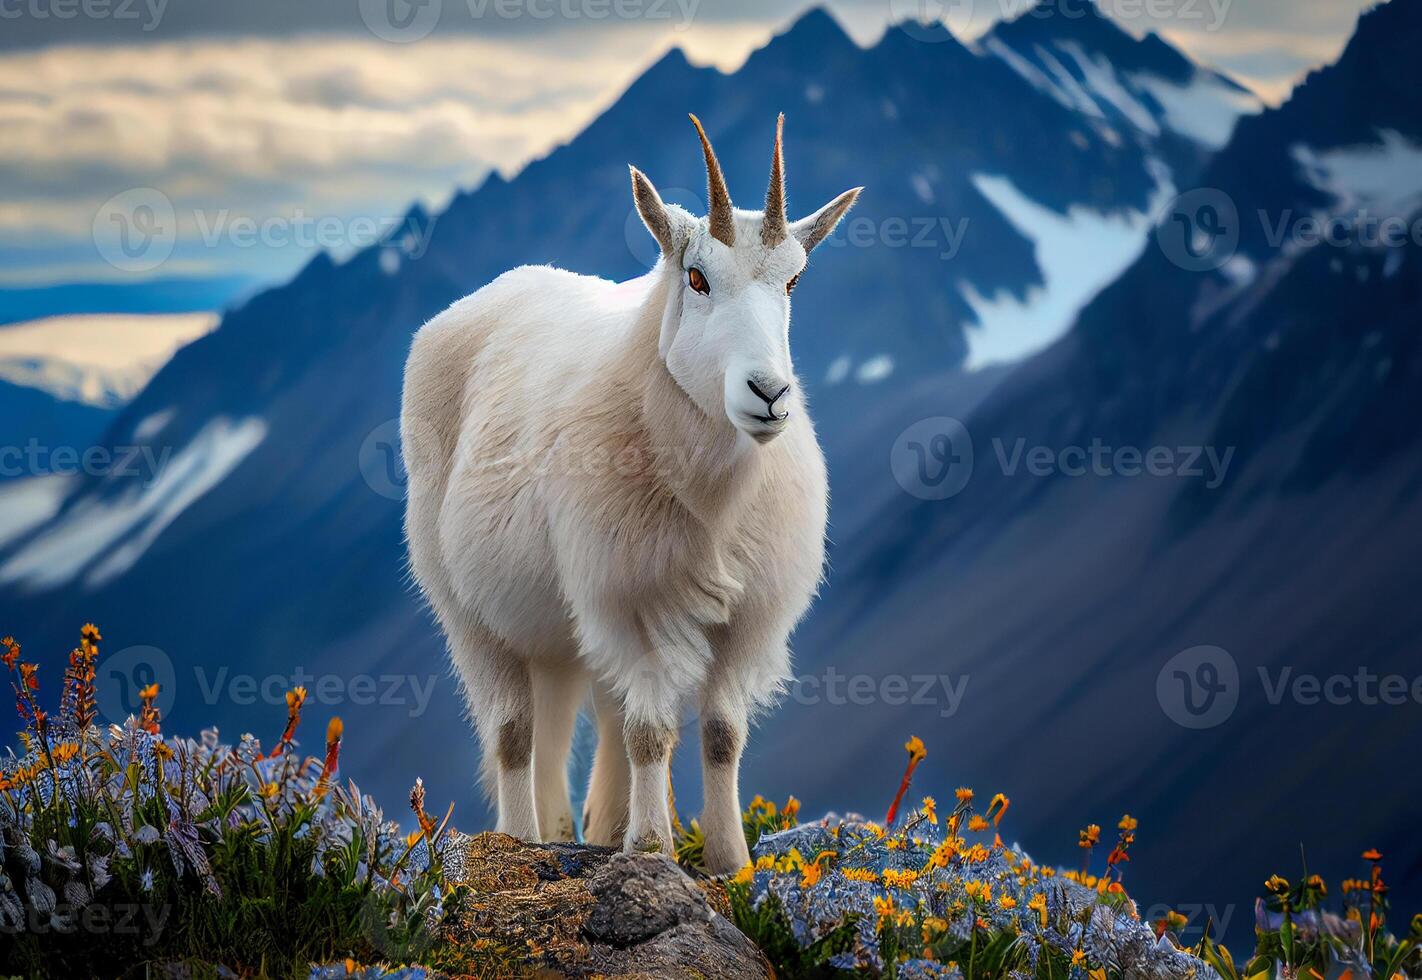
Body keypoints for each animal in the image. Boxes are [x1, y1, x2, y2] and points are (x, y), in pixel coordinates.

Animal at [406, 114, 858, 870]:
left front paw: (729, 861)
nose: (768, 393)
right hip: (470, 609)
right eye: (697, 277)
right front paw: (652, 848)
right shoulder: (634, 601)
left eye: (793, 281)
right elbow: (649, 733)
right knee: (515, 732)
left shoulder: (743, 617)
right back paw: (523, 838)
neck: (711, 496)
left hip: (561, 627)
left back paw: (582, 828)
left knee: (575, 718)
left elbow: (720, 734)